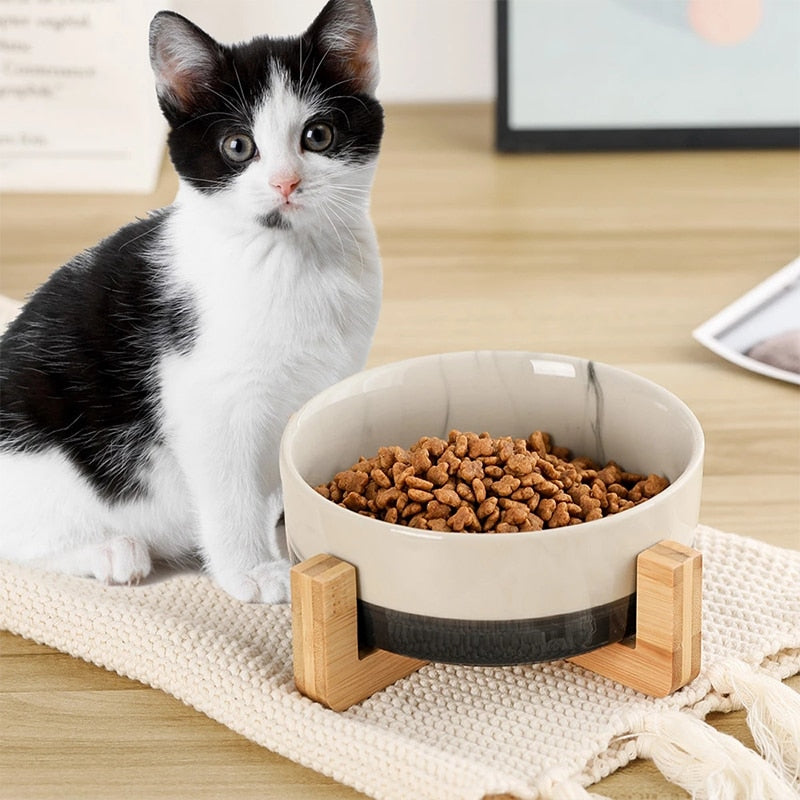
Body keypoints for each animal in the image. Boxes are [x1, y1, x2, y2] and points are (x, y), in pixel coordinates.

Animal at [0, 0, 384, 600]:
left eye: (318, 135)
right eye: (237, 146)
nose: (285, 183)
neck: (289, 260)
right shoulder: (209, 398)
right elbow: (228, 491)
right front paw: (249, 568)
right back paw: (110, 551)